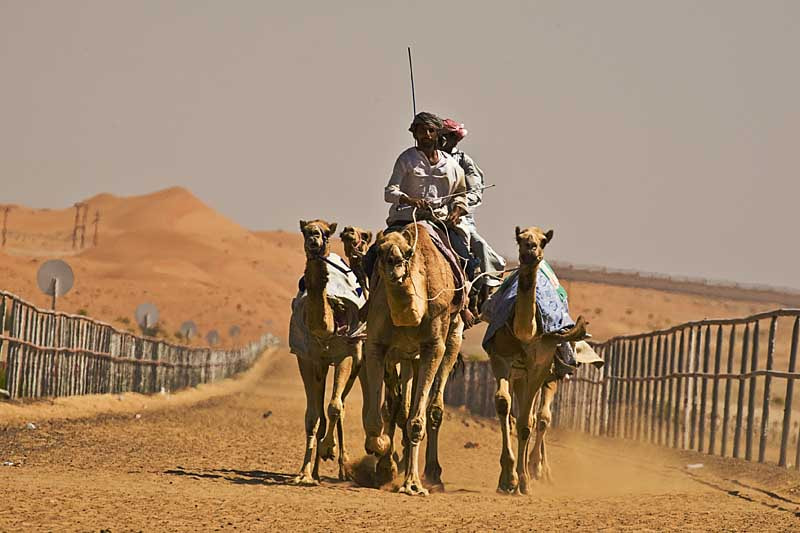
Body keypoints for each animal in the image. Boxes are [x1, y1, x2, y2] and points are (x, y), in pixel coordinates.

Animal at [289, 219, 366, 485]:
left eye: (325, 233)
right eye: (305, 230)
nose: (314, 238)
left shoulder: (345, 355)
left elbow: (334, 407)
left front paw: (327, 449)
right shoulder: (307, 358)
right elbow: (312, 416)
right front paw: (303, 473)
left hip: (357, 361)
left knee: (339, 405)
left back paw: (343, 468)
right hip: (323, 366)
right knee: (324, 412)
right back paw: (316, 471)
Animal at [363, 223, 465, 496]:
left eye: (408, 253)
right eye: (380, 250)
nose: (394, 264)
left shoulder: (433, 347)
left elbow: (416, 421)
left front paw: (412, 485)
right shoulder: (376, 346)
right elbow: (377, 418)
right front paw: (383, 458)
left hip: (452, 338)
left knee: (433, 409)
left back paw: (432, 474)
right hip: (407, 357)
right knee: (399, 407)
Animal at [483, 226, 586, 494]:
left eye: (543, 241)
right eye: (520, 238)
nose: (530, 249)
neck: (526, 332)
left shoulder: (539, 367)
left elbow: (527, 422)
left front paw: (524, 481)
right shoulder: (501, 359)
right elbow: (504, 407)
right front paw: (507, 478)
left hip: (548, 374)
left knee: (540, 417)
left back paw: (539, 470)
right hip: (519, 376)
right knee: (521, 413)